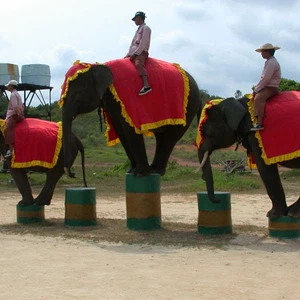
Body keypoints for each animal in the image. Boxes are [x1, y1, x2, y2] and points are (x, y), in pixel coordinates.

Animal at [59, 57, 202, 177]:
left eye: (78, 94)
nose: (72, 174)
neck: (97, 65)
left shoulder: (128, 99)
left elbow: (130, 129)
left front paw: (140, 173)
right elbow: (120, 130)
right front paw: (131, 171)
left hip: (187, 105)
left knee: (171, 136)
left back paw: (156, 171)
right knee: (162, 136)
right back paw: (154, 170)